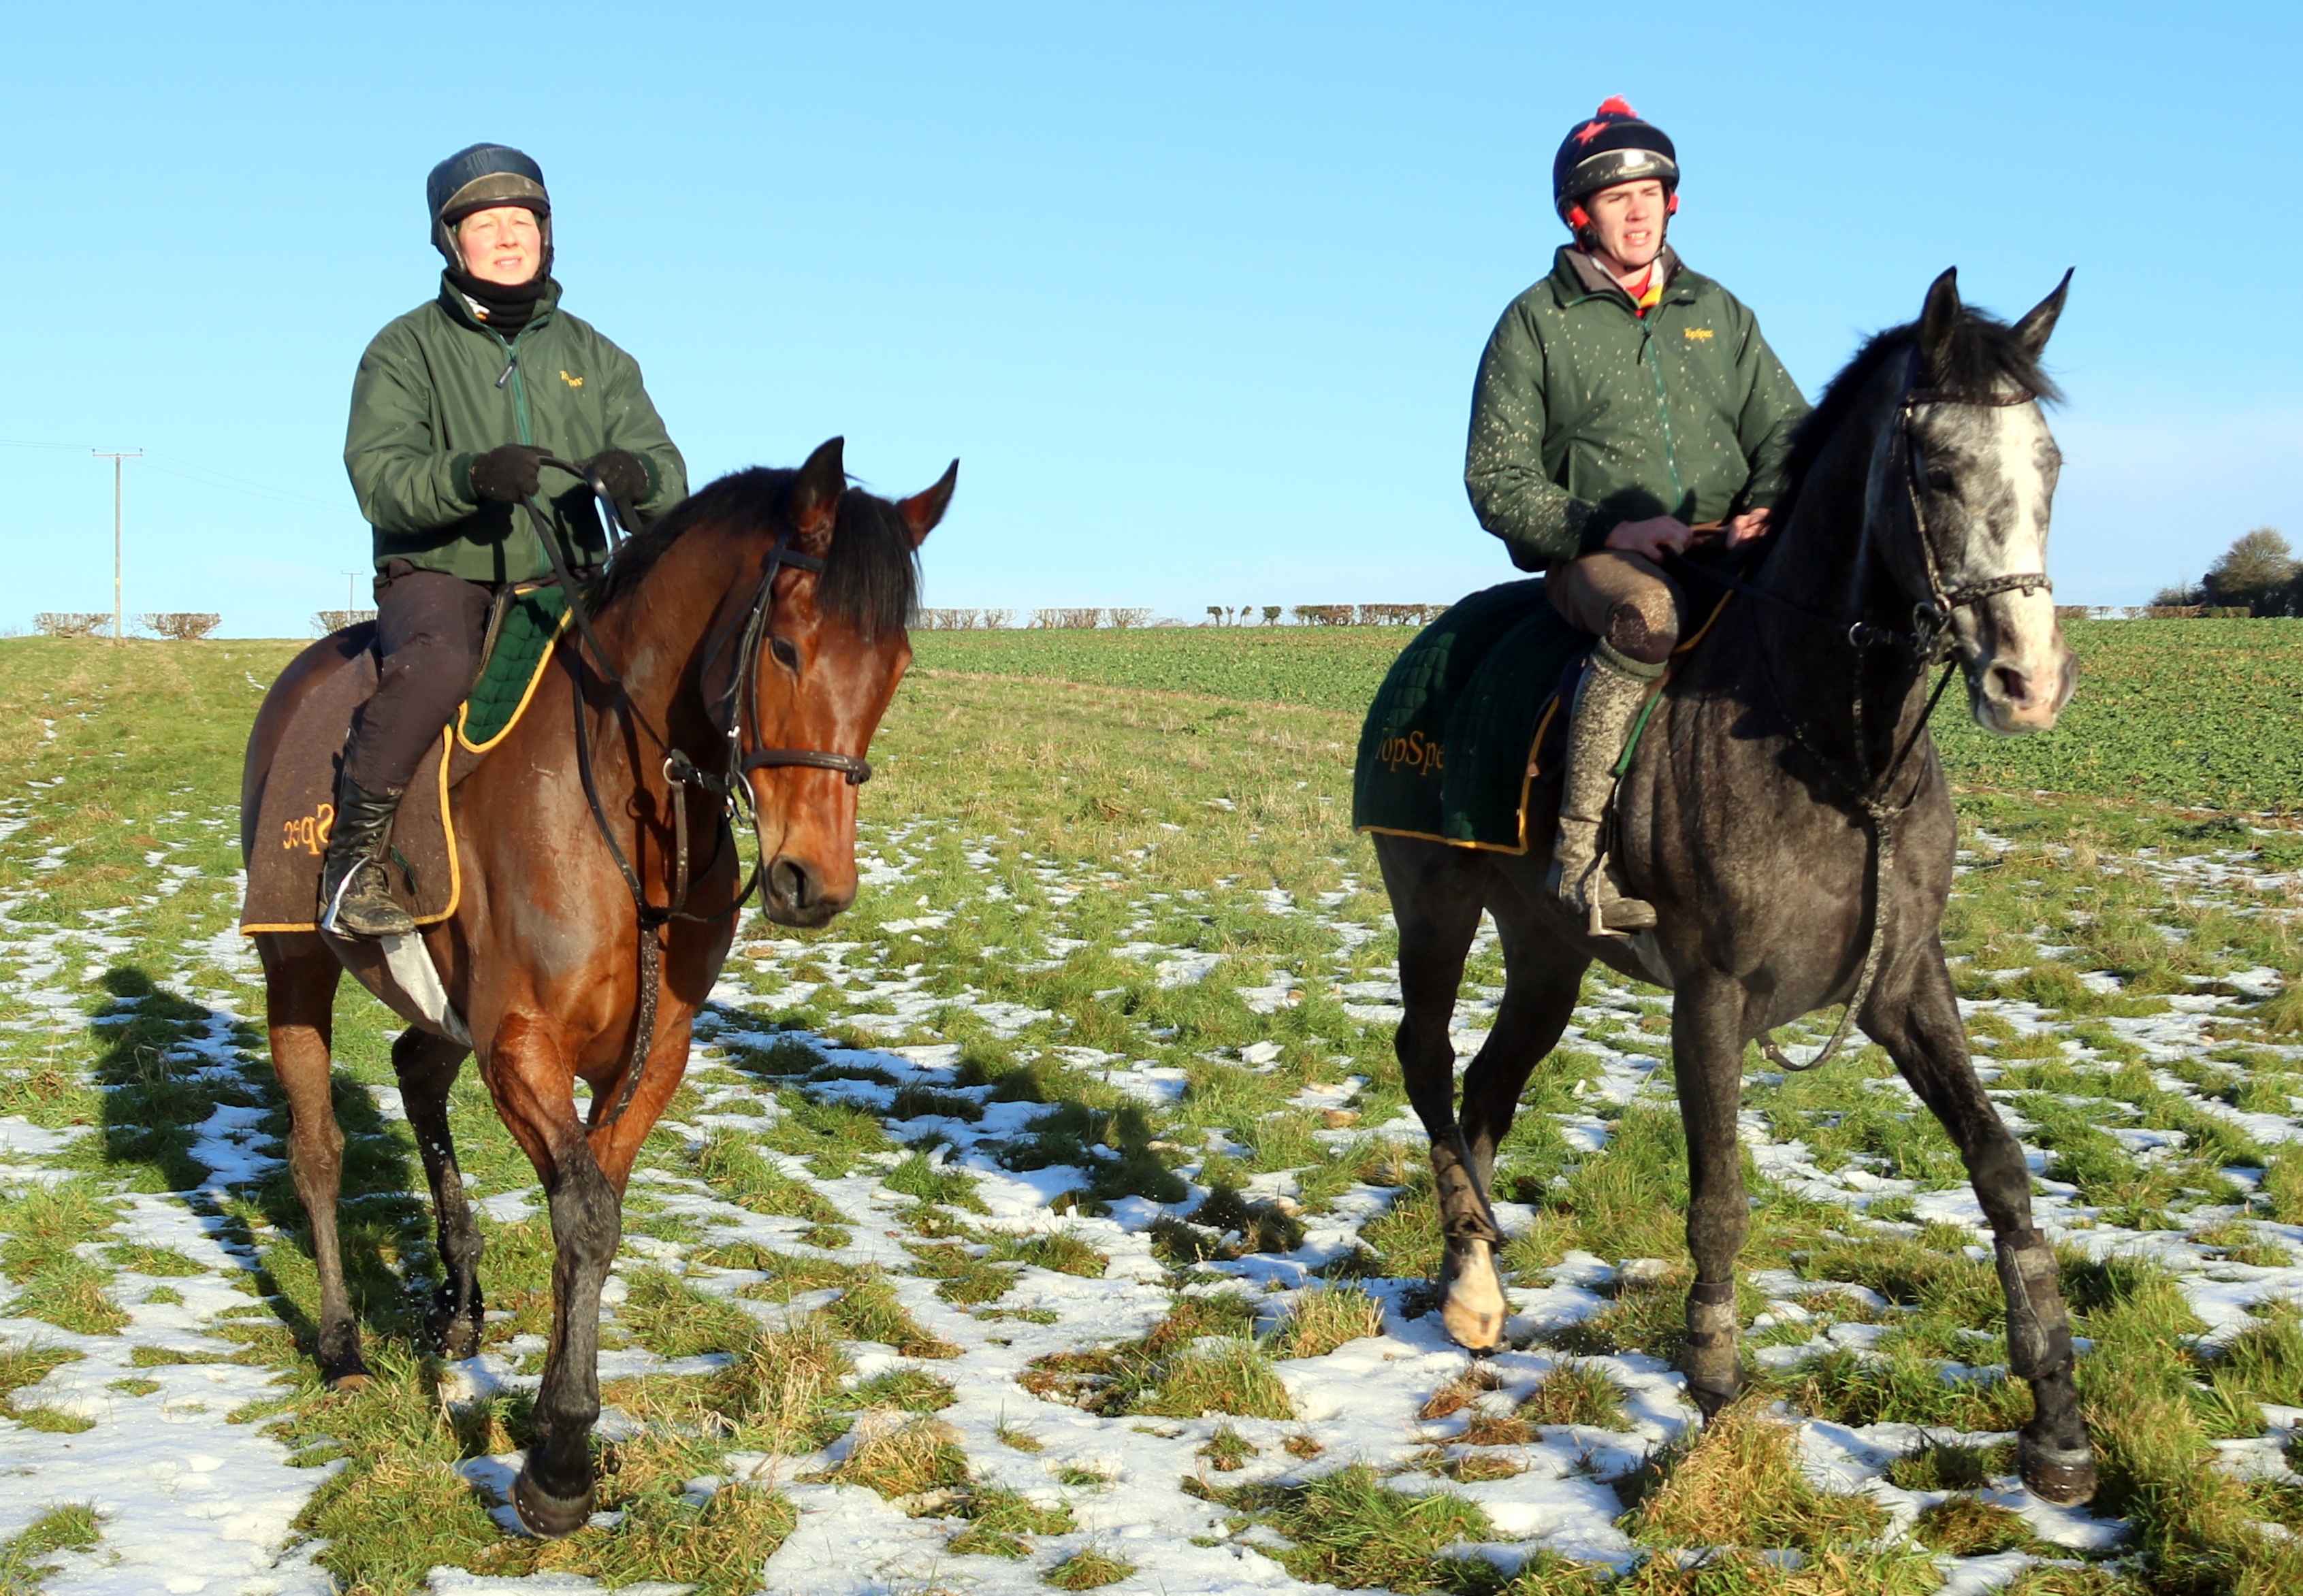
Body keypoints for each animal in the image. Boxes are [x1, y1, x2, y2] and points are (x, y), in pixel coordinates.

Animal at [241, 438, 954, 1535]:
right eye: (788, 648)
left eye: (896, 664)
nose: (814, 882)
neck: (624, 799)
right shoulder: (522, 1040)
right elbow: (582, 1211)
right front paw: (559, 1463)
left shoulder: (650, 1048)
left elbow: (601, 1209)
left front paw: (557, 1431)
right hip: (297, 965)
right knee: (316, 1149)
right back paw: (343, 1349)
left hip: (444, 1006)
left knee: (414, 1070)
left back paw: (458, 1305)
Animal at [1371, 270, 2098, 1504]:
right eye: (1934, 467)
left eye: (2047, 460)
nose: (2027, 680)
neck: (1840, 754)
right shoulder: (1707, 997)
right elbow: (1717, 1199)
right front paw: (1713, 1386)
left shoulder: (1903, 983)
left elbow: (2000, 1169)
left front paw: (2052, 1420)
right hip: (1430, 905)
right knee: (1424, 1059)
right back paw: (1466, 1277)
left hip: (1546, 953)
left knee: (1485, 1086)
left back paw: (1479, 1281)